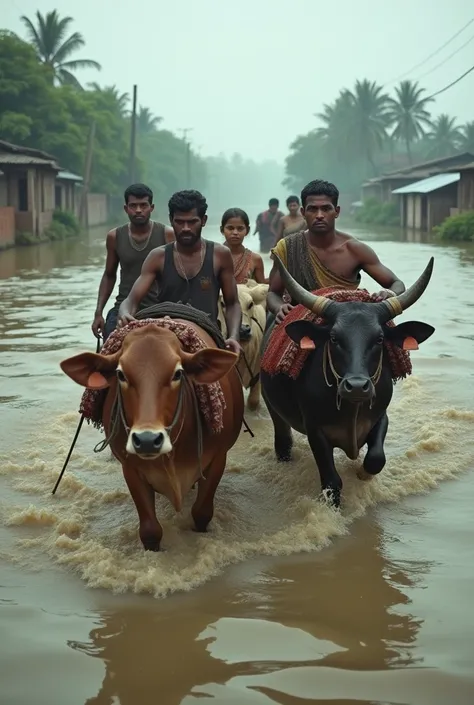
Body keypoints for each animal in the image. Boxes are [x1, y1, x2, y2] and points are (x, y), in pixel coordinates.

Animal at [60, 322, 244, 552]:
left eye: (177, 374)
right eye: (121, 375)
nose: (147, 440)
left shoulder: (218, 458)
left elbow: (201, 513)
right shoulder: (131, 468)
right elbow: (150, 530)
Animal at [262, 254, 436, 506]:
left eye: (379, 339)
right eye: (334, 338)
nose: (356, 387)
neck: (352, 407)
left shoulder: (379, 417)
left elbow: (376, 459)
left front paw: (362, 474)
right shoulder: (315, 431)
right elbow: (332, 483)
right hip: (274, 410)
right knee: (283, 443)